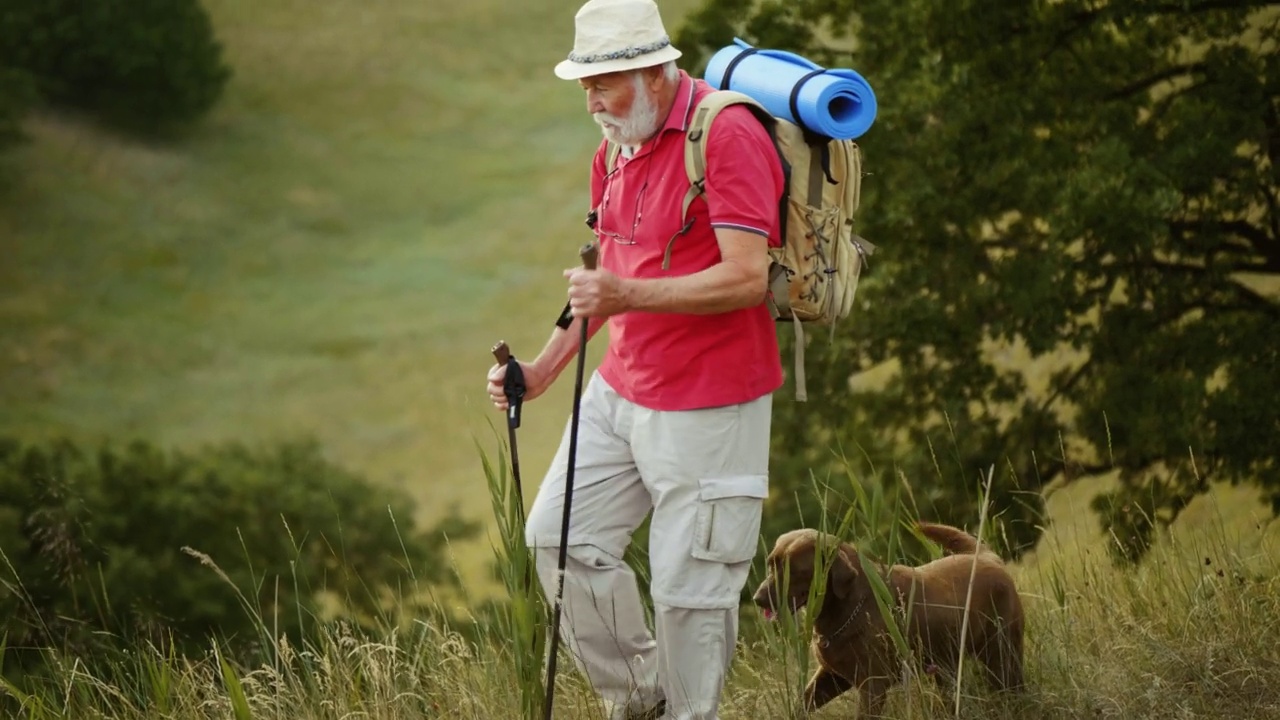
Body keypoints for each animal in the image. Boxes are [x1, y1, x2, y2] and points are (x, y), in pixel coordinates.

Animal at [752, 520, 1024, 712]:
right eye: (770, 564)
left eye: (793, 570)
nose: (758, 598)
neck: (850, 607)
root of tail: (989, 558)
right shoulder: (830, 677)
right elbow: (801, 705)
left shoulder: (873, 684)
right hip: (945, 666)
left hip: (1002, 653)